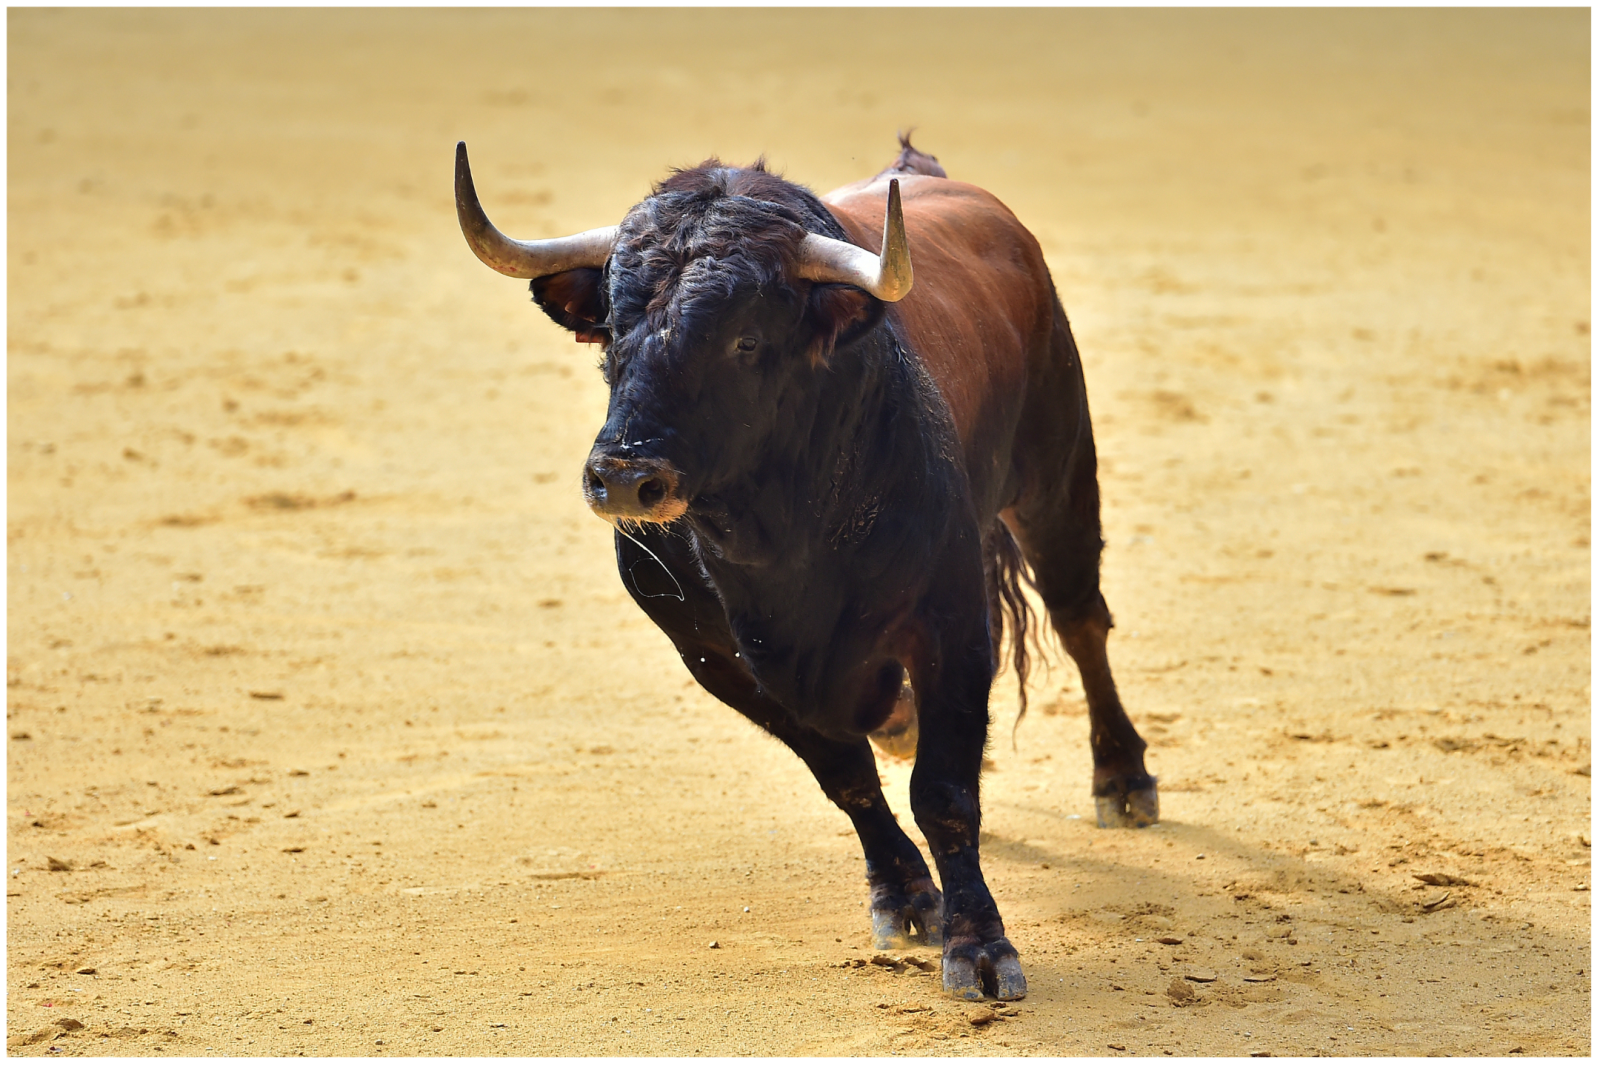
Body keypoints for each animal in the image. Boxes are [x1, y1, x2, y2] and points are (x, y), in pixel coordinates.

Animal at [454, 136, 1157, 1002]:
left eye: (747, 340)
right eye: (612, 331)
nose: (623, 478)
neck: (774, 539)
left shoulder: (951, 620)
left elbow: (945, 791)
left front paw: (981, 947)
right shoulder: (715, 659)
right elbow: (844, 774)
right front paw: (906, 896)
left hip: (1057, 476)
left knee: (1079, 616)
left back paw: (1122, 780)